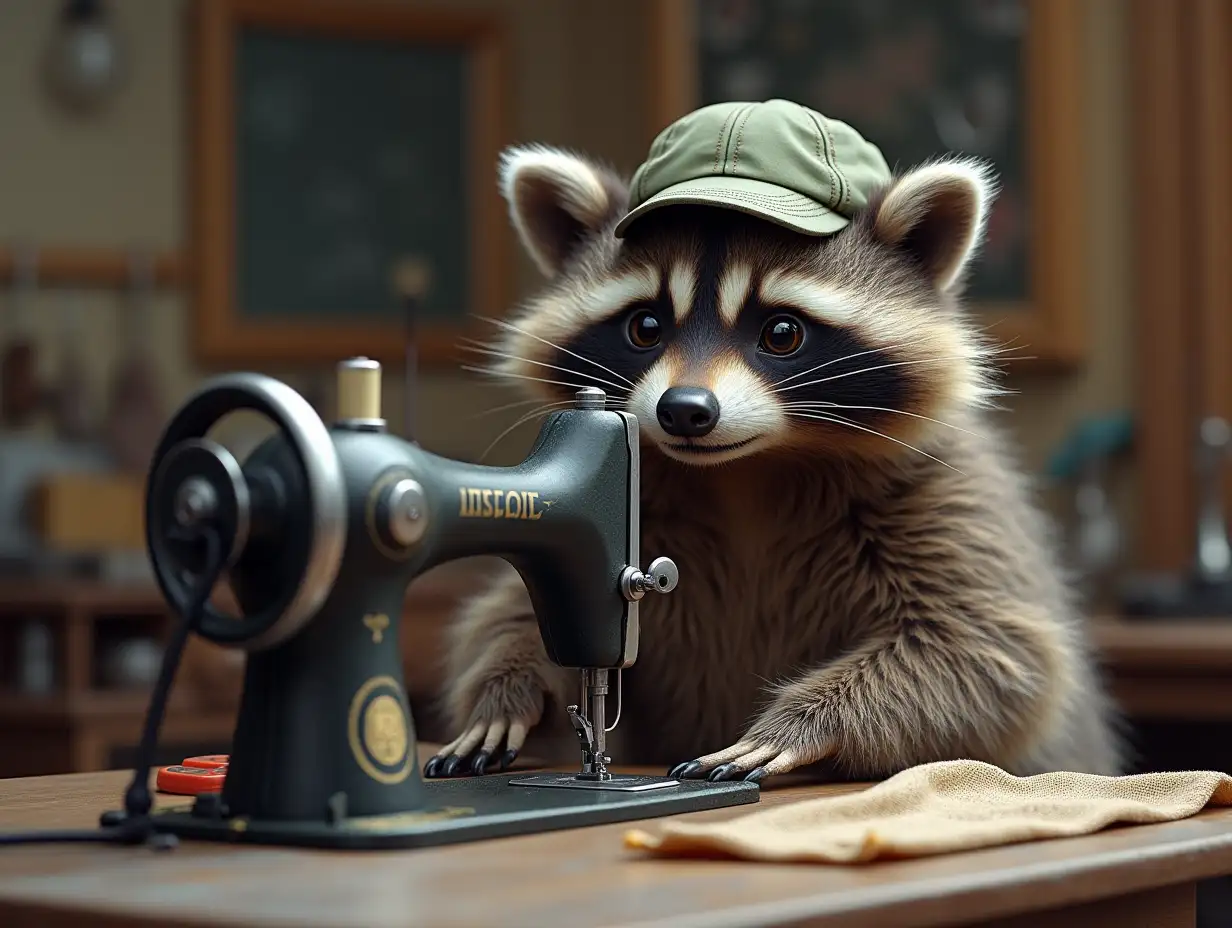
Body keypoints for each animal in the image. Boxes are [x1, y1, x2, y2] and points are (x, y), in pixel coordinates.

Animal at [423, 102, 1128, 783]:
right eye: (645, 326)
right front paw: (508, 690)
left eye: (782, 332)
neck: (747, 469)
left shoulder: (944, 492)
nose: (684, 411)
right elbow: (508, 614)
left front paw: (799, 725)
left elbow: (989, 648)